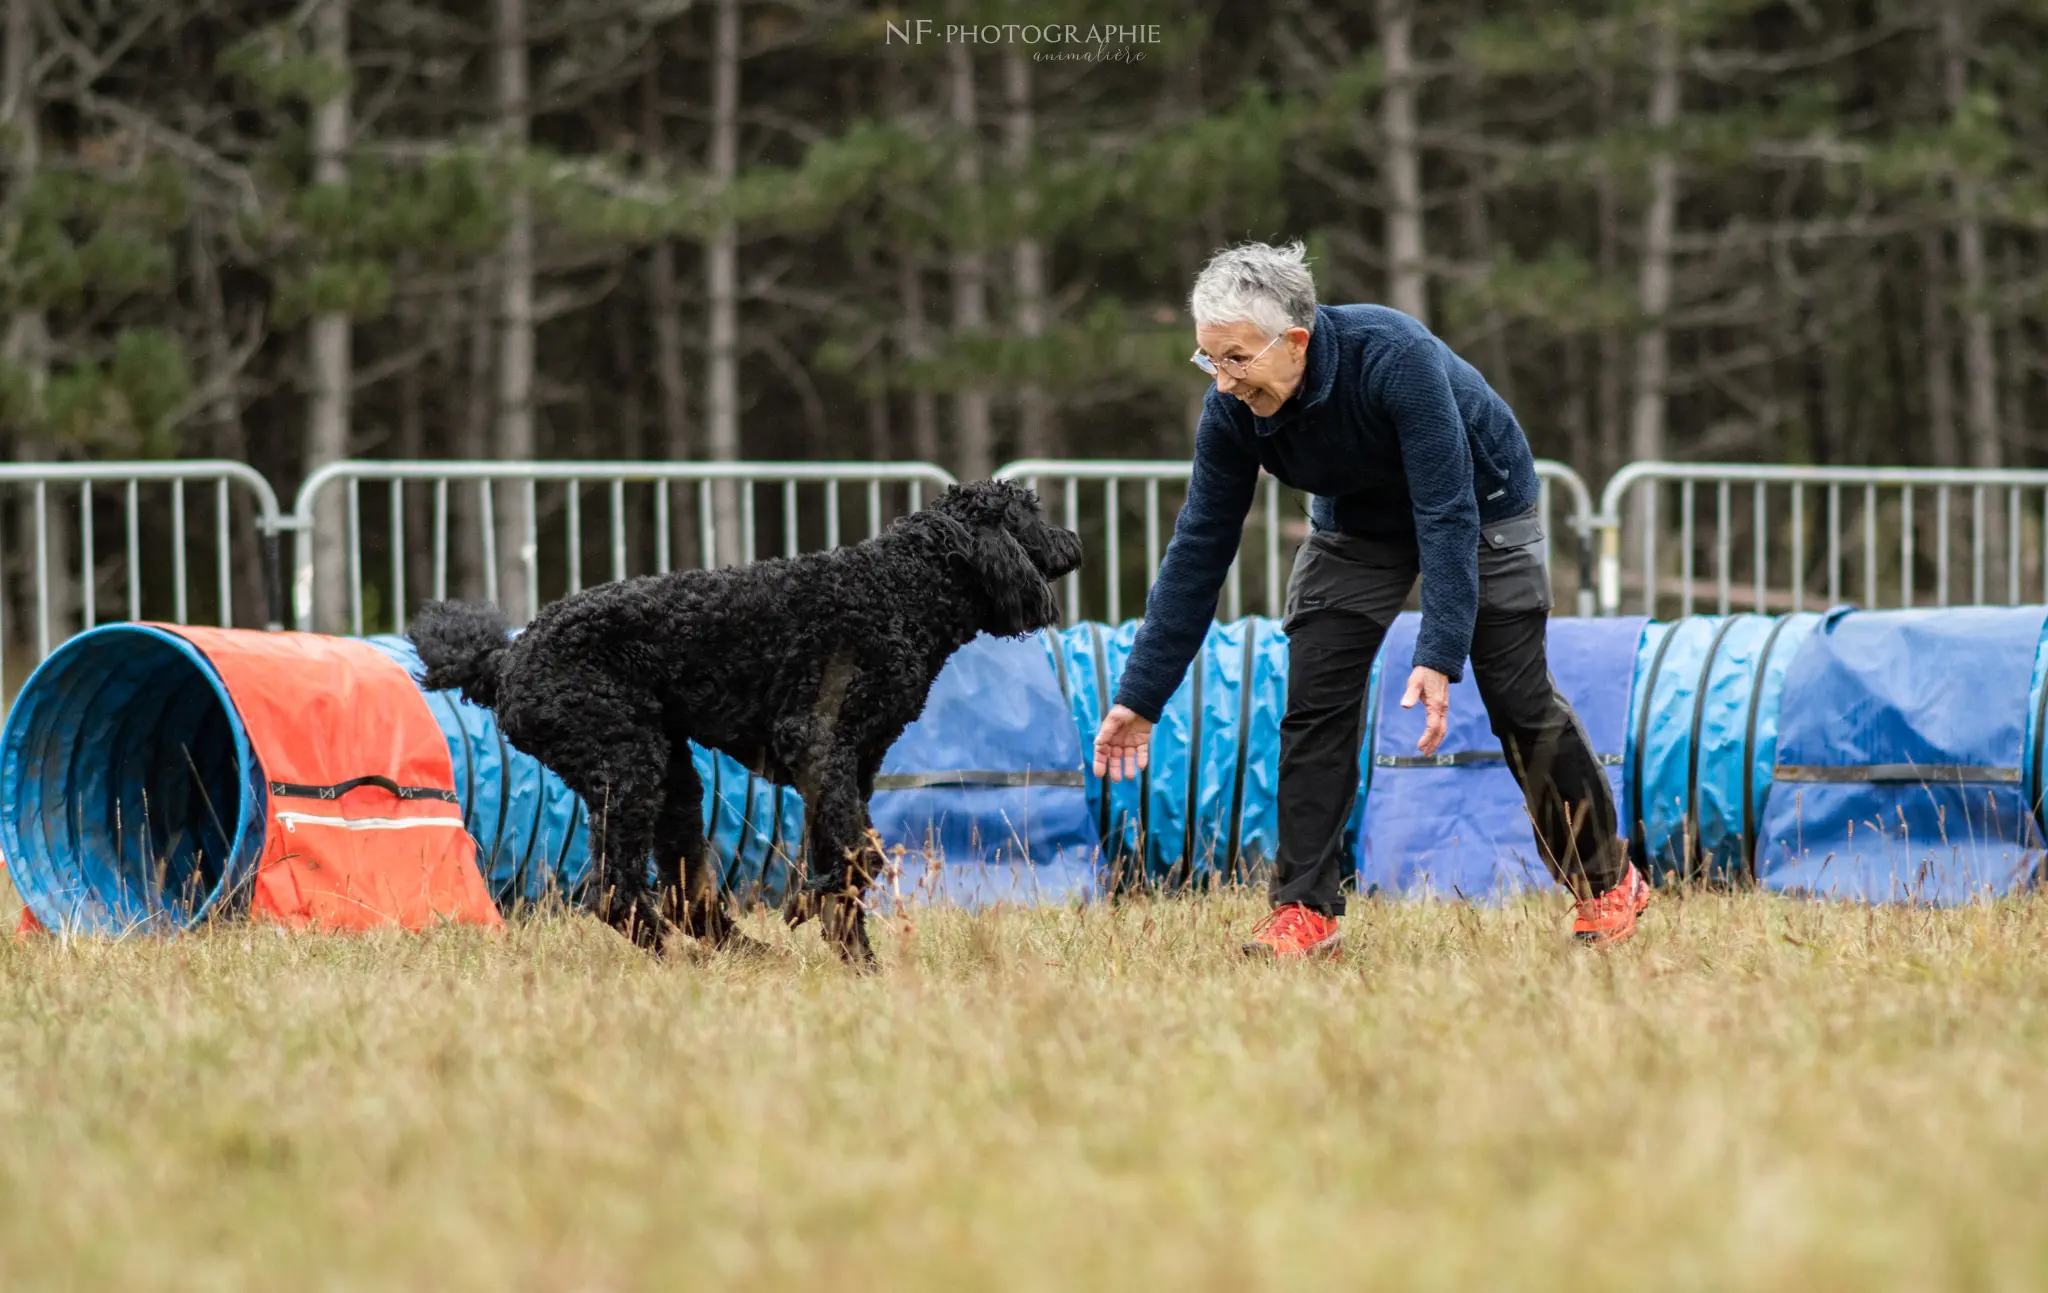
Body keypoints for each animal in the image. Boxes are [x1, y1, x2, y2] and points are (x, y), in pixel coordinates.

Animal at [403, 481, 1089, 967]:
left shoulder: (849, 767)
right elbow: (860, 853)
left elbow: (843, 858)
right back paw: (687, 962)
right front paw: (820, 912)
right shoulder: (816, 744)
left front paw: (852, 953)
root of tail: (506, 659)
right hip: (626, 762)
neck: (901, 589)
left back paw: (748, 957)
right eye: (1030, 514)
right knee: (617, 892)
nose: (1076, 541)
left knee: (683, 892)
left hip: (671, 775)